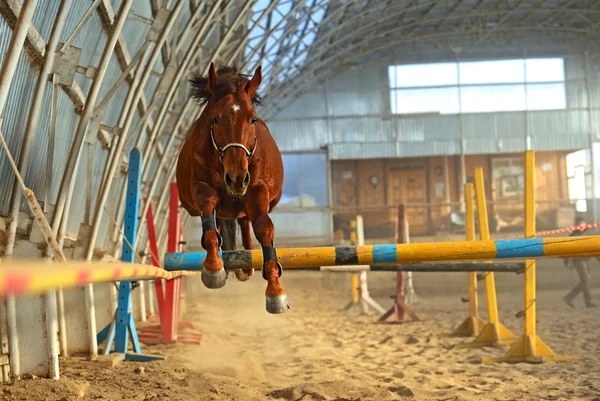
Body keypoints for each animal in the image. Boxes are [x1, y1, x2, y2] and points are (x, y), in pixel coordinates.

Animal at [175, 63, 290, 312]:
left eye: (253, 119)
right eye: (216, 119)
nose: (237, 179)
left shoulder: (257, 190)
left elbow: (264, 227)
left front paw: (275, 291)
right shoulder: (201, 187)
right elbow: (209, 207)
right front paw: (213, 268)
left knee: (245, 222)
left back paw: (245, 266)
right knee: (218, 219)